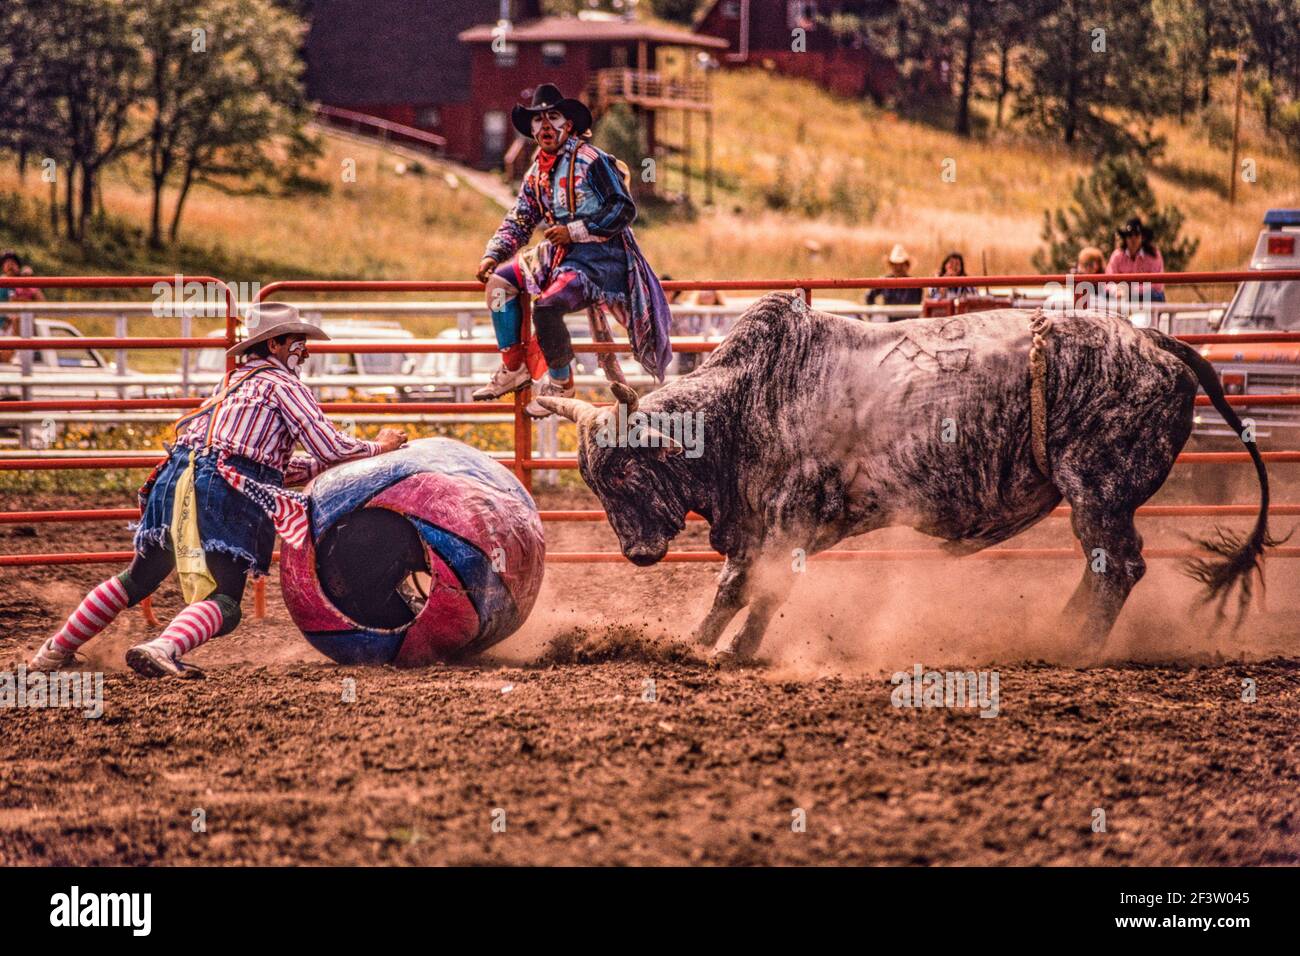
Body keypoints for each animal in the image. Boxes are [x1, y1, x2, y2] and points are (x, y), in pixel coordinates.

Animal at [540, 295, 1279, 660]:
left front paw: (718, 651)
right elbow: (748, 590)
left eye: (628, 470)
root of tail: (1156, 341)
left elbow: (753, 587)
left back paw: (1075, 646)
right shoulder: (771, 525)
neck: (750, 399)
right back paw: (1060, 633)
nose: (637, 554)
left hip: (1098, 488)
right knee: (1106, 568)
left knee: (1118, 566)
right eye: (595, 483)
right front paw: (707, 645)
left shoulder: (787, 516)